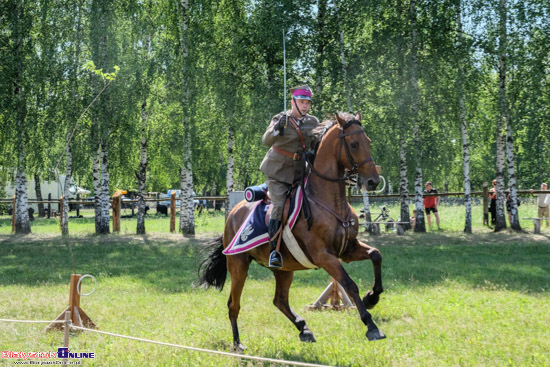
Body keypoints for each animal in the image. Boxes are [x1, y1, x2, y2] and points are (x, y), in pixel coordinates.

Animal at [199, 111, 388, 350]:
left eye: (368, 142)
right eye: (354, 144)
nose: (373, 181)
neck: (328, 201)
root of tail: (233, 211)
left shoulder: (347, 250)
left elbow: (376, 255)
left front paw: (372, 297)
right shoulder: (325, 256)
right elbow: (349, 284)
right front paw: (371, 326)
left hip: (284, 269)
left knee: (279, 300)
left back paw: (304, 328)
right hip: (238, 264)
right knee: (234, 304)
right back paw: (238, 344)